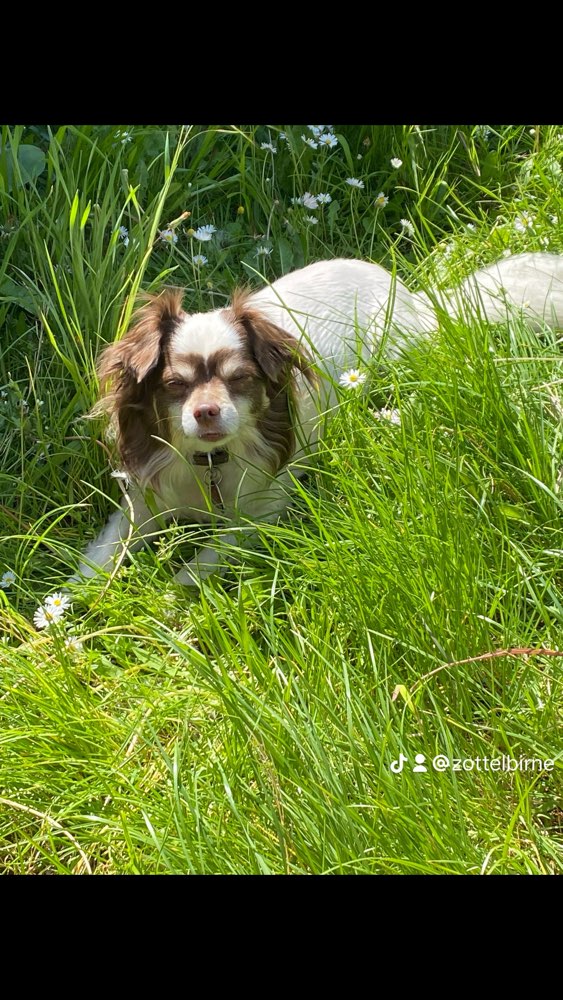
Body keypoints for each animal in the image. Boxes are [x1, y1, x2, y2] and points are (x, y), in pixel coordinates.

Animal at [77, 252, 563, 584]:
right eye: (176, 385)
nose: (207, 410)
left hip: (399, 358)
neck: (209, 461)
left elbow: (205, 560)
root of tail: (415, 298)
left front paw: (171, 598)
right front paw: (73, 600)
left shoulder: (262, 512)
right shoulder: (143, 502)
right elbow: (103, 552)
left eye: (239, 379)